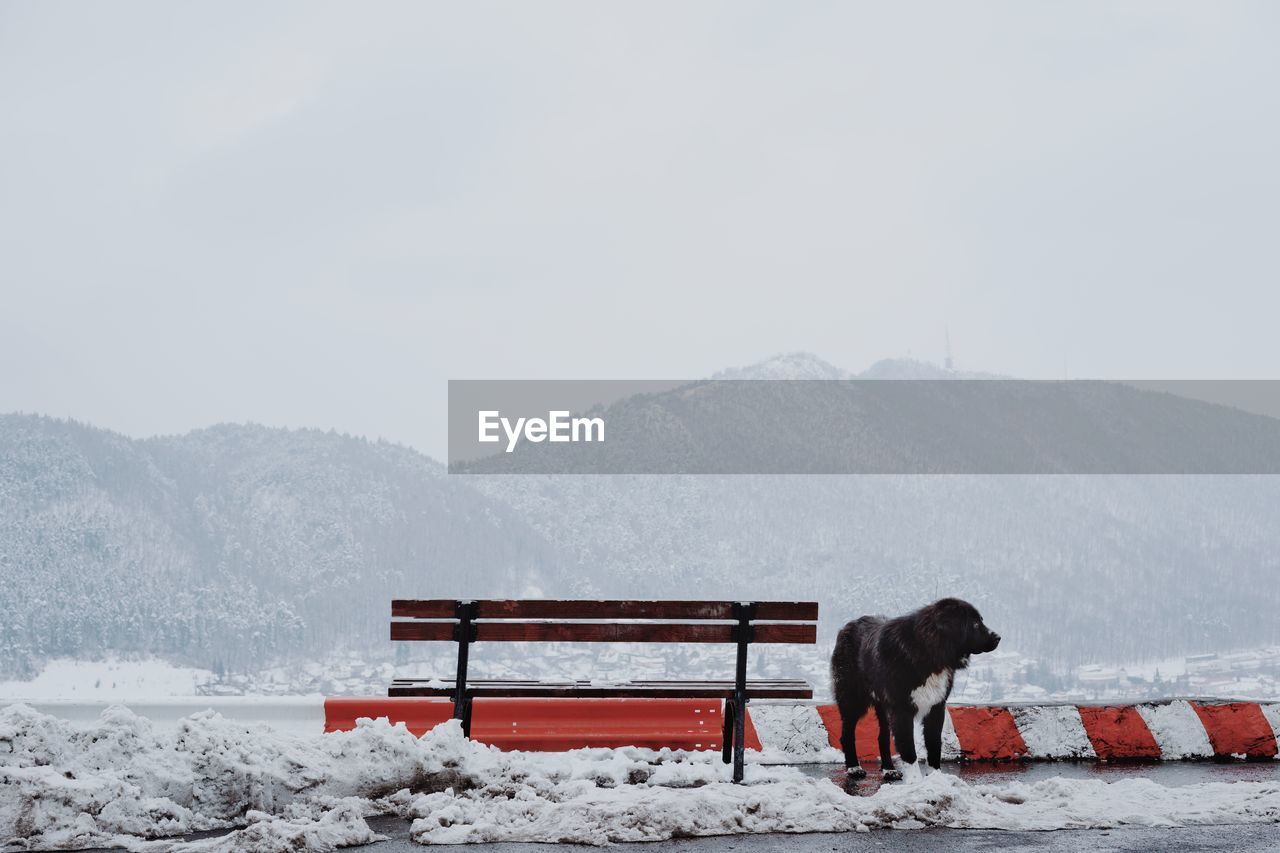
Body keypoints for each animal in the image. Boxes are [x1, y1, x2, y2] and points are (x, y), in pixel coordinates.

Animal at [829, 596, 998, 778]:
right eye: (975, 623)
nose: (998, 637)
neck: (929, 651)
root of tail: (848, 626)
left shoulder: (936, 707)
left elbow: (934, 747)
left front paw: (935, 778)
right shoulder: (902, 710)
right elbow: (909, 751)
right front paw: (916, 781)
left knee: (883, 737)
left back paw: (889, 769)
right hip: (852, 700)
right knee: (847, 735)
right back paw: (854, 767)